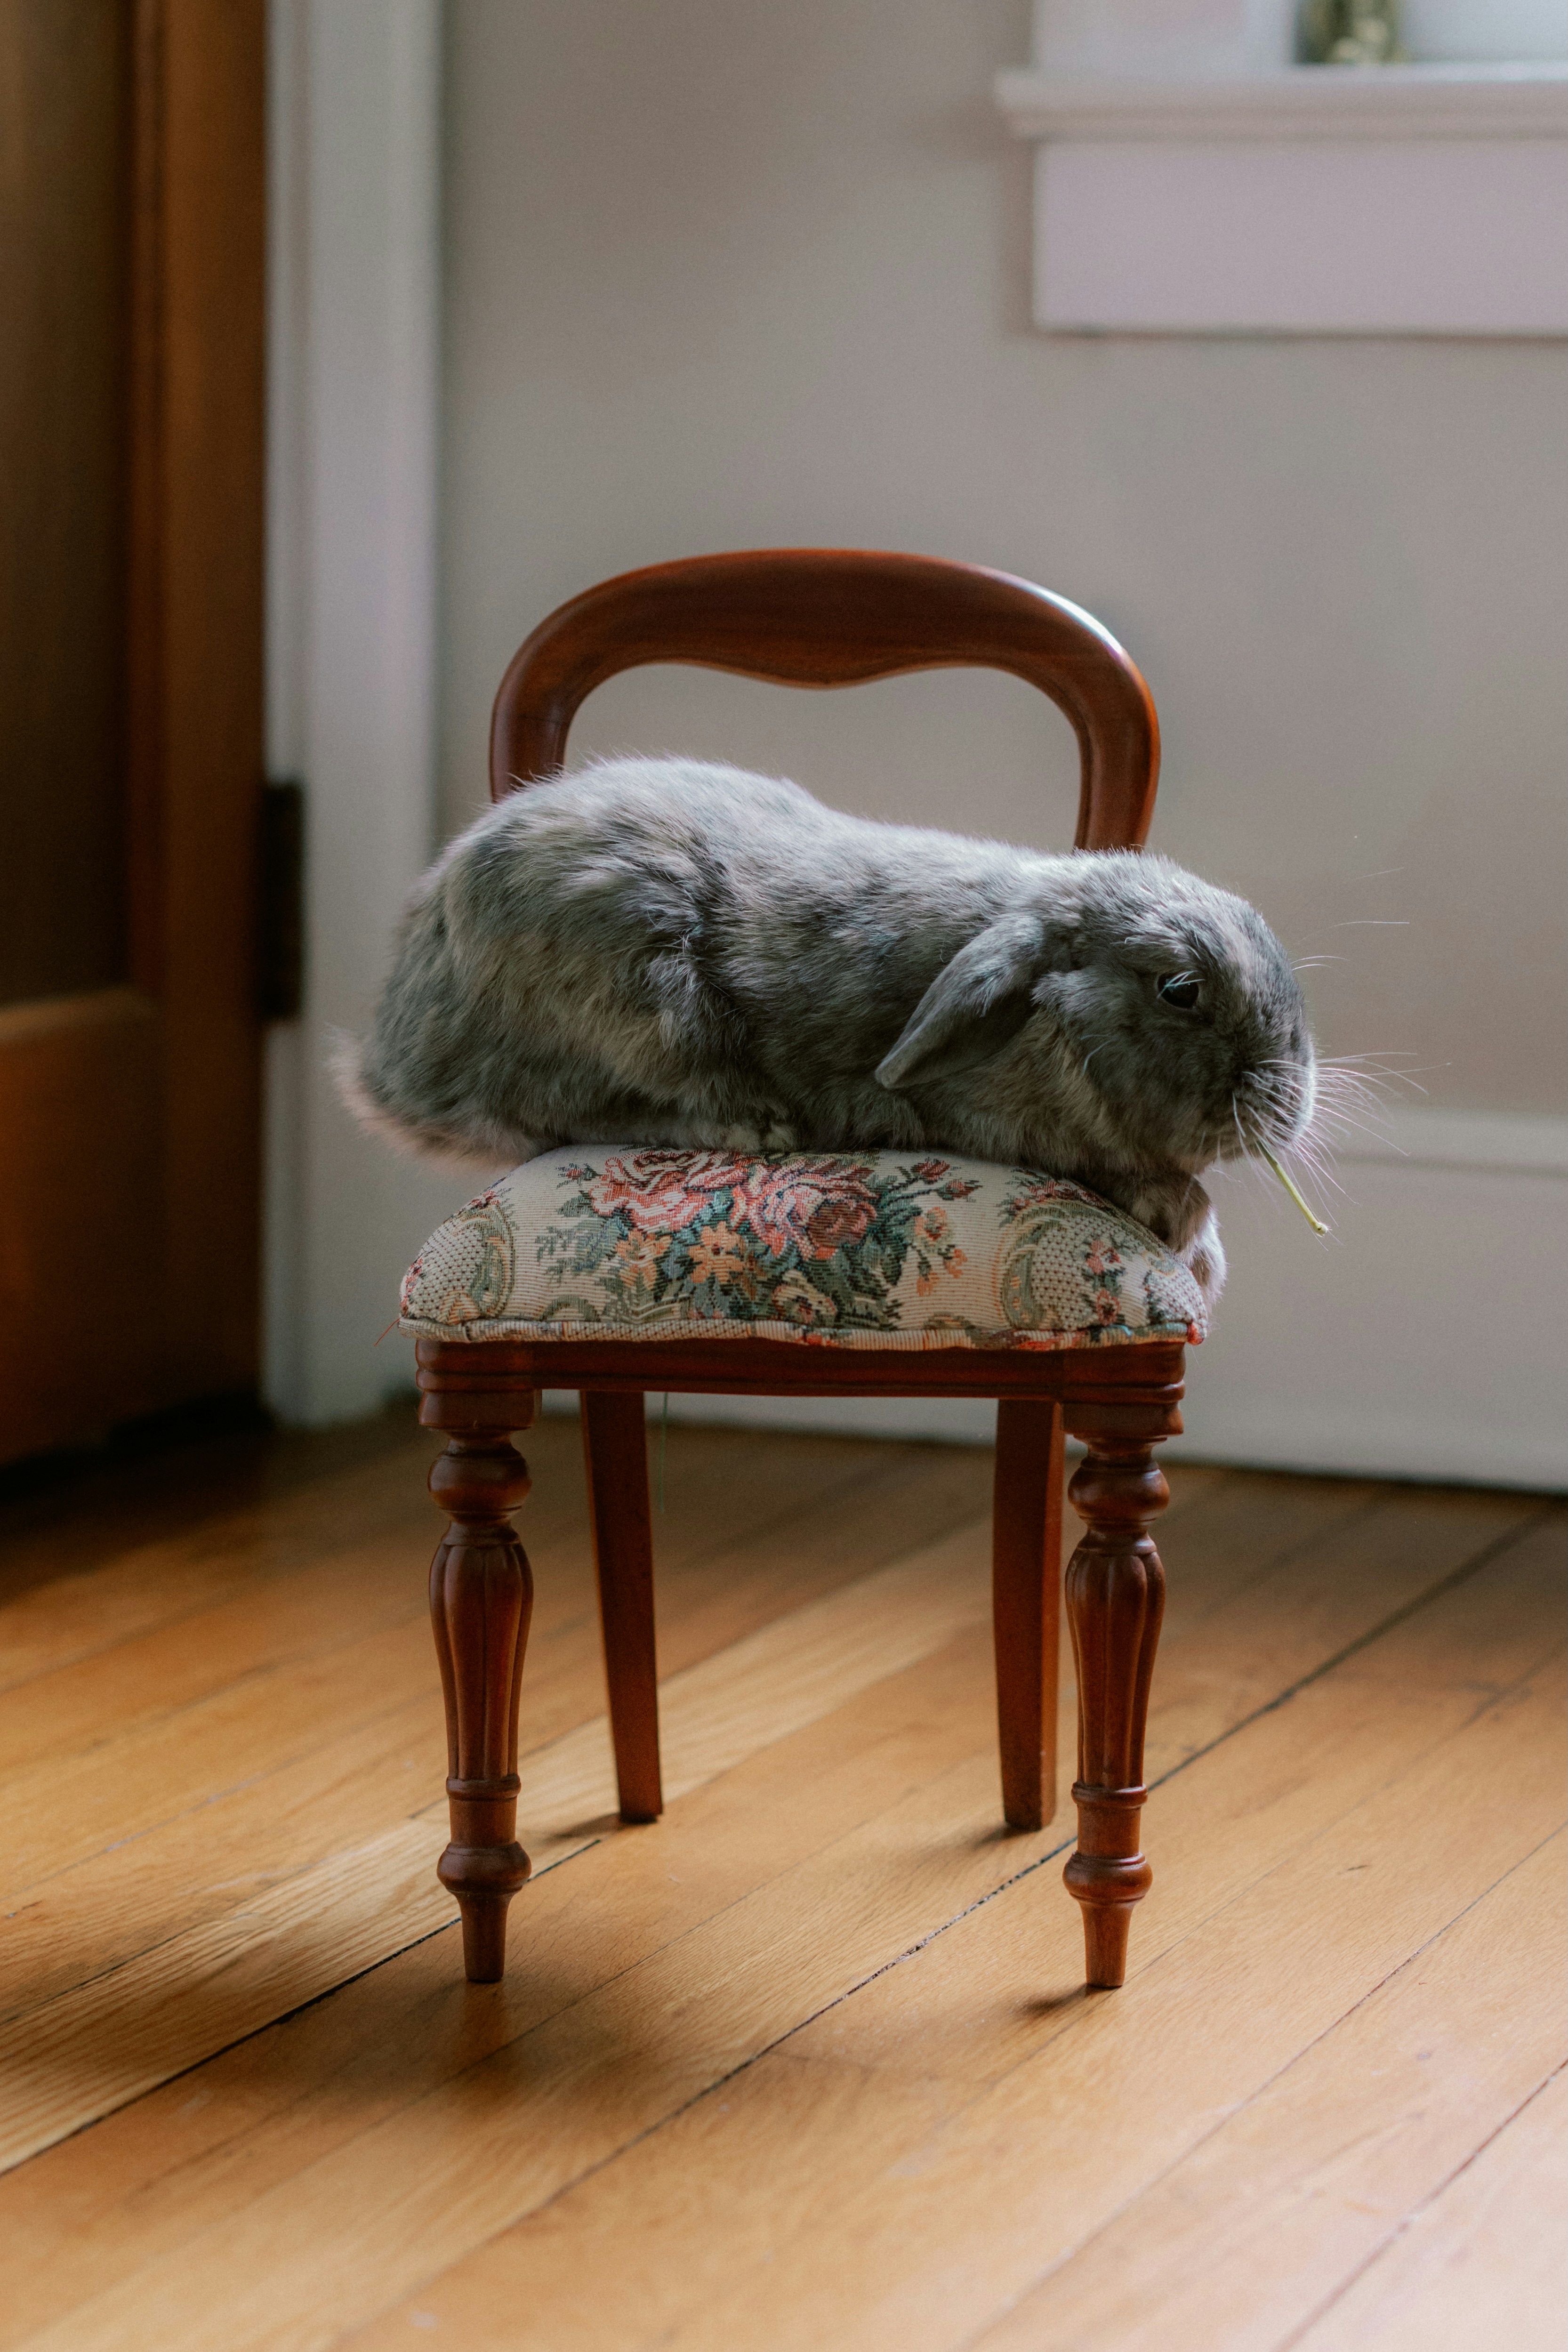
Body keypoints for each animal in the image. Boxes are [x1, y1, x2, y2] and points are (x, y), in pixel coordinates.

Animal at [345, 756, 1319, 1306]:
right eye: (1180, 989)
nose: (1294, 1100)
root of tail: (389, 1058)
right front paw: (1187, 1224)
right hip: (637, 999)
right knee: (578, 1115)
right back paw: (758, 1125)